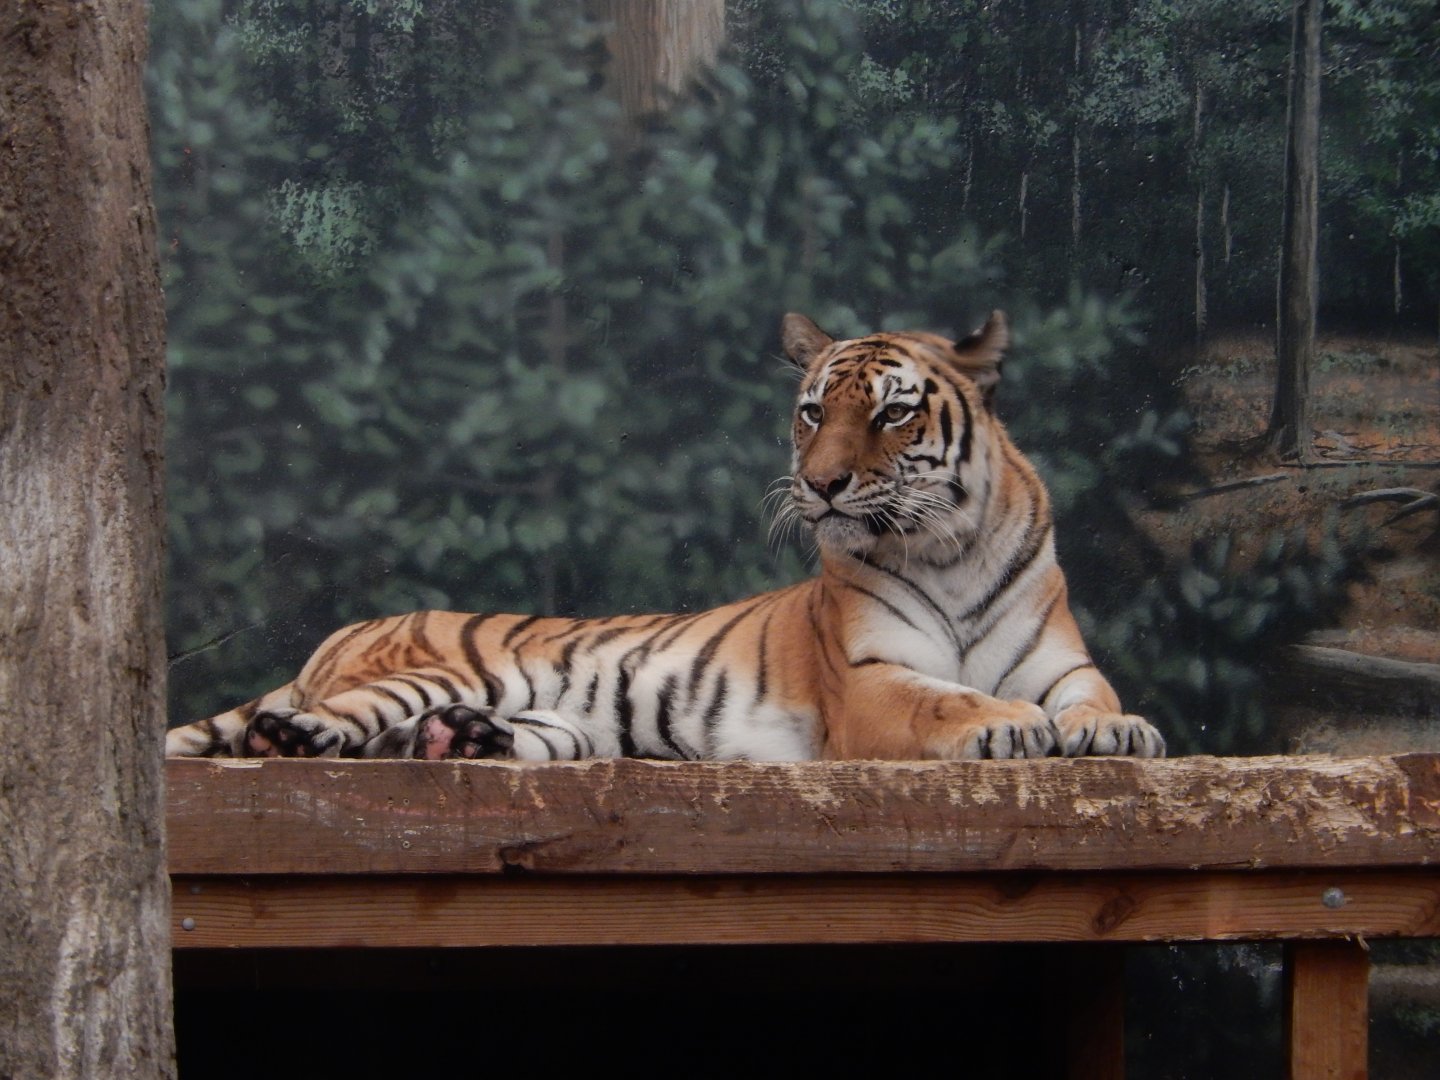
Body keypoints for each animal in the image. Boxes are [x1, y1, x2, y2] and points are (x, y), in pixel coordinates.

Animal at [165, 312, 1165, 762]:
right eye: (813, 413)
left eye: (890, 414)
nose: (821, 484)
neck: (947, 547)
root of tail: (343, 631)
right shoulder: (871, 682)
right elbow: (943, 700)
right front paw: (1009, 723)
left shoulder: (1061, 660)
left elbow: (1092, 695)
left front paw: (1118, 730)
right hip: (427, 671)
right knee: (317, 722)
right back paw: (296, 734)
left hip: (561, 727)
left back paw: (459, 742)